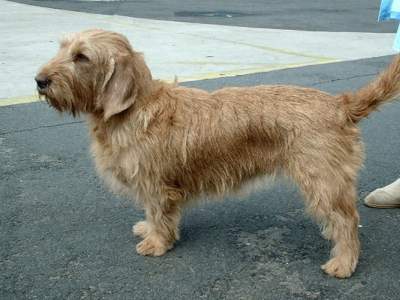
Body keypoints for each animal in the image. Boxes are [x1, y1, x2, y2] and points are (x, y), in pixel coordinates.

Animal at [36, 29, 400, 278]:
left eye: (82, 57)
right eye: (62, 48)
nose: (39, 80)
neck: (135, 108)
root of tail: (340, 104)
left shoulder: (156, 185)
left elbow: (159, 214)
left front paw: (156, 243)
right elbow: (153, 215)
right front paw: (147, 229)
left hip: (323, 182)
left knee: (346, 221)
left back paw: (343, 262)